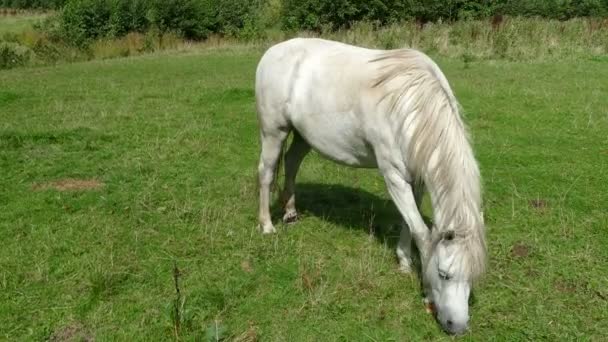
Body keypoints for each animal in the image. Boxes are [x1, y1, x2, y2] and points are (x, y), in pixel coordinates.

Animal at [254, 38, 486, 334]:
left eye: (474, 277)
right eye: (444, 274)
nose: (456, 326)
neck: (409, 106)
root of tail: (274, 50)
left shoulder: (417, 179)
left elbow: (409, 222)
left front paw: (403, 261)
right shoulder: (394, 176)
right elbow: (421, 232)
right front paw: (424, 289)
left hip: (304, 136)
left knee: (292, 162)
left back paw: (291, 213)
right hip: (273, 132)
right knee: (266, 172)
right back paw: (266, 225)